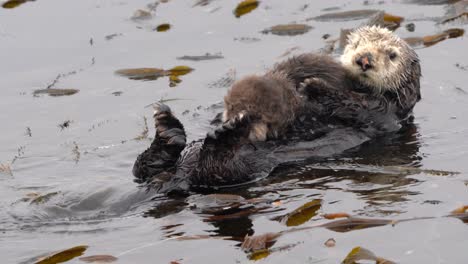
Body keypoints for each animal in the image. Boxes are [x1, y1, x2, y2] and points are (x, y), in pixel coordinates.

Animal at [132, 25, 420, 193]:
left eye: (391, 55)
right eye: (357, 45)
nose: (364, 60)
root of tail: (179, 178)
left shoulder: (385, 111)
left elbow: (357, 107)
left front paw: (314, 86)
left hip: (234, 171)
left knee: (215, 166)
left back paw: (223, 133)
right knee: (144, 168)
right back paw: (167, 129)